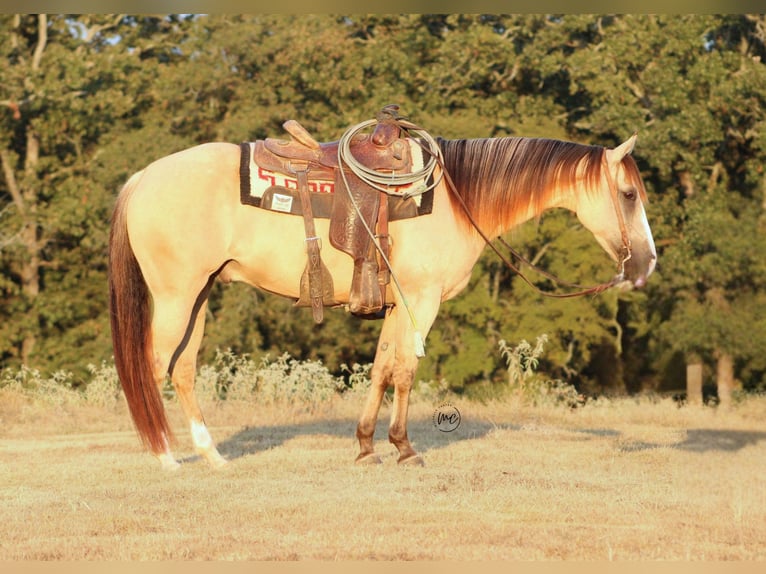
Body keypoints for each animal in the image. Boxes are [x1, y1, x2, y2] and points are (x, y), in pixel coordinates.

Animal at [108, 119, 656, 470]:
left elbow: (381, 369)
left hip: (198, 296)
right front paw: (405, 449)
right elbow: (406, 372)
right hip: (177, 296)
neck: (454, 199)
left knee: (181, 370)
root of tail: (142, 178)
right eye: (629, 195)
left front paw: (368, 447)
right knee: (152, 367)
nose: (647, 263)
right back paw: (165, 458)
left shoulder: (397, 304)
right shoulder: (422, 300)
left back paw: (212, 455)